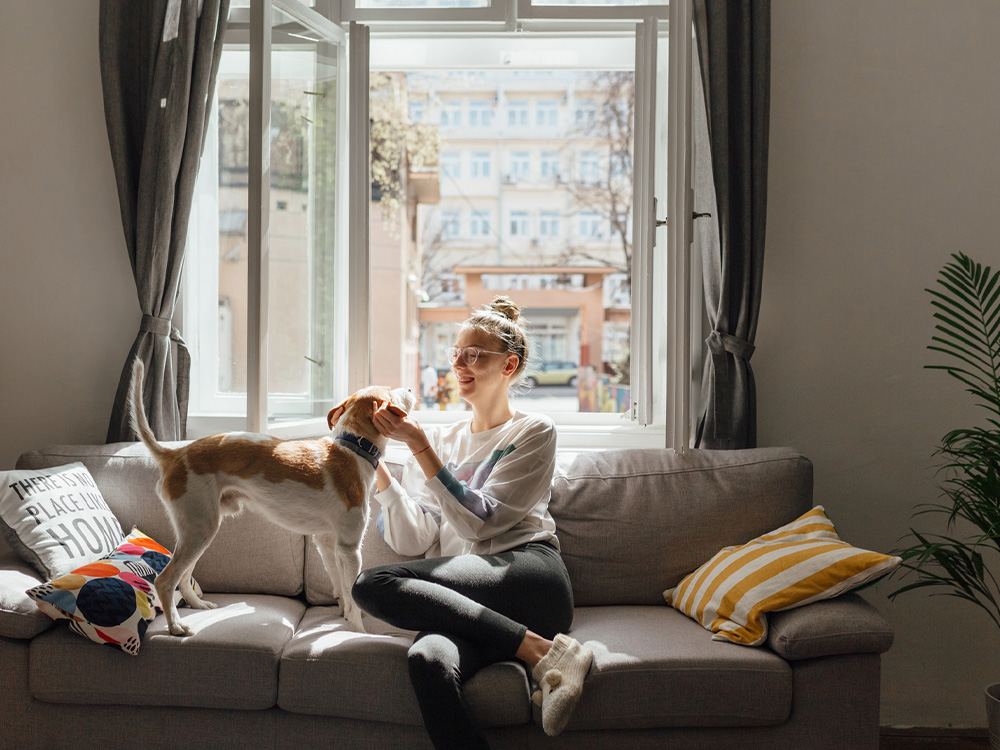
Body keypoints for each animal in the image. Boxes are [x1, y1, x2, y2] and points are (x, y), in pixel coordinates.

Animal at [129, 362, 414, 636]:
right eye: (392, 392)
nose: (411, 389)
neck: (352, 449)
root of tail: (176, 454)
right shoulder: (350, 548)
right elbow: (352, 595)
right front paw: (357, 630)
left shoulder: (326, 542)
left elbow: (340, 587)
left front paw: (344, 613)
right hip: (199, 530)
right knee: (165, 581)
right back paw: (176, 626)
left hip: (199, 533)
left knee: (184, 576)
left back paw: (198, 605)